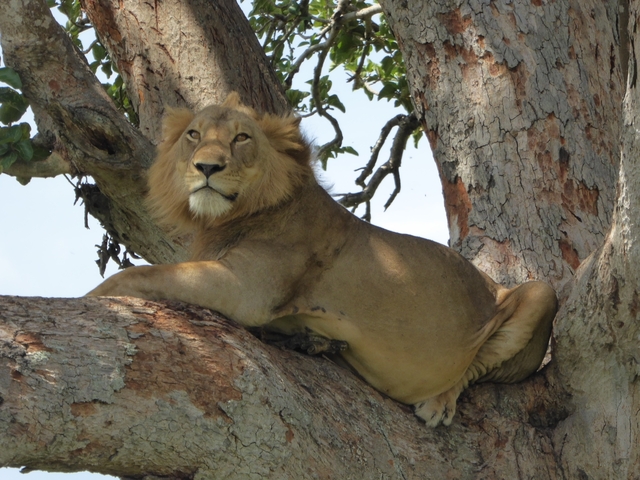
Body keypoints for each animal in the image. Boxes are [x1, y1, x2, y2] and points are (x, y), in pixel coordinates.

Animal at [87, 92, 558, 427]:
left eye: (241, 138)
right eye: (194, 135)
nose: (206, 167)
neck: (226, 219)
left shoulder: (246, 288)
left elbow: (137, 274)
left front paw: (91, 299)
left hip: (540, 292)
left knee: (476, 367)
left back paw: (438, 402)